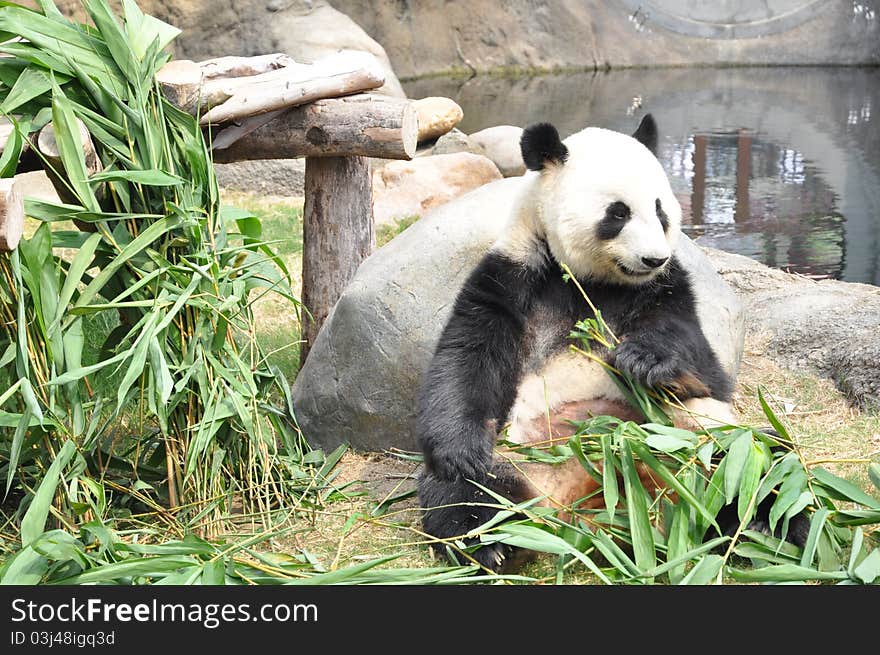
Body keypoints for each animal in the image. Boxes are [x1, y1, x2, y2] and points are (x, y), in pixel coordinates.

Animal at [418, 115, 792, 572]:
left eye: (660, 209)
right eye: (618, 212)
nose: (653, 258)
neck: (596, 281)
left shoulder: (668, 290)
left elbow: (704, 368)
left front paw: (644, 361)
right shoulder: (513, 276)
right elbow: (468, 357)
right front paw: (460, 451)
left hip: (700, 438)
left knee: (759, 462)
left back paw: (762, 526)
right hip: (513, 458)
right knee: (464, 492)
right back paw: (489, 543)